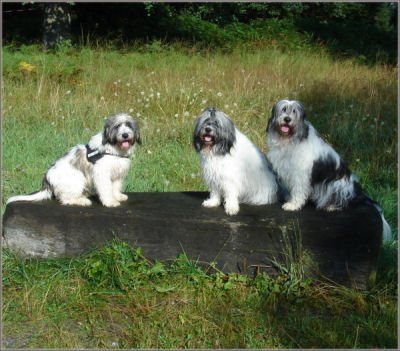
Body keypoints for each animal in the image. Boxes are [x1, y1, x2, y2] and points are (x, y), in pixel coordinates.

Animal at [6, 113, 142, 208]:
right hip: (77, 180)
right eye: (117, 126)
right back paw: (82, 201)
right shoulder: (101, 173)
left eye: (128, 125)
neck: (114, 148)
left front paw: (117, 196)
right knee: (65, 199)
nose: (125, 135)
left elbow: (115, 187)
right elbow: (106, 189)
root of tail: (47, 180)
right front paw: (110, 202)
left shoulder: (118, 172)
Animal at [266, 100, 390, 241]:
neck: (290, 139)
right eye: (283, 109)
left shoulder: (301, 174)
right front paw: (289, 198)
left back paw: (332, 206)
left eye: (294, 112)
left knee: (344, 199)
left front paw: (293, 205)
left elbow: (298, 191)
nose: (287, 119)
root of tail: (357, 191)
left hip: (336, 185)